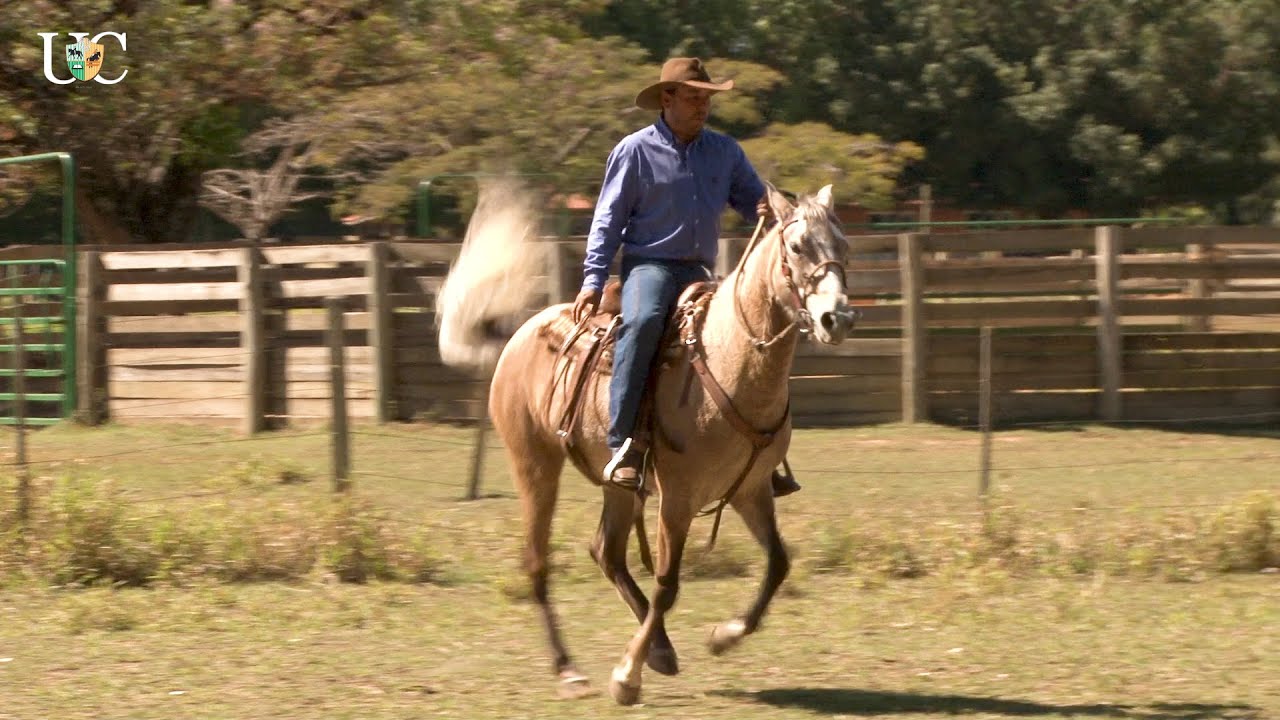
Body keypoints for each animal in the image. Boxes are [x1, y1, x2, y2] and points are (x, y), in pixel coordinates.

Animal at [436, 178, 854, 705]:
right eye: (798, 247)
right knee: (537, 562)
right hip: (534, 465)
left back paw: (659, 650)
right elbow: (667, 585)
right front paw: (626, 676)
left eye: (843, 245)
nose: (838, 319)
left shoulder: (750, 489)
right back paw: (569, 668)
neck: (729, 362)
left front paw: (723, 636)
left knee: (606, 552)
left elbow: (778, 563)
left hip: (618, 484)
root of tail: (520, 334)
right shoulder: (677, 498)